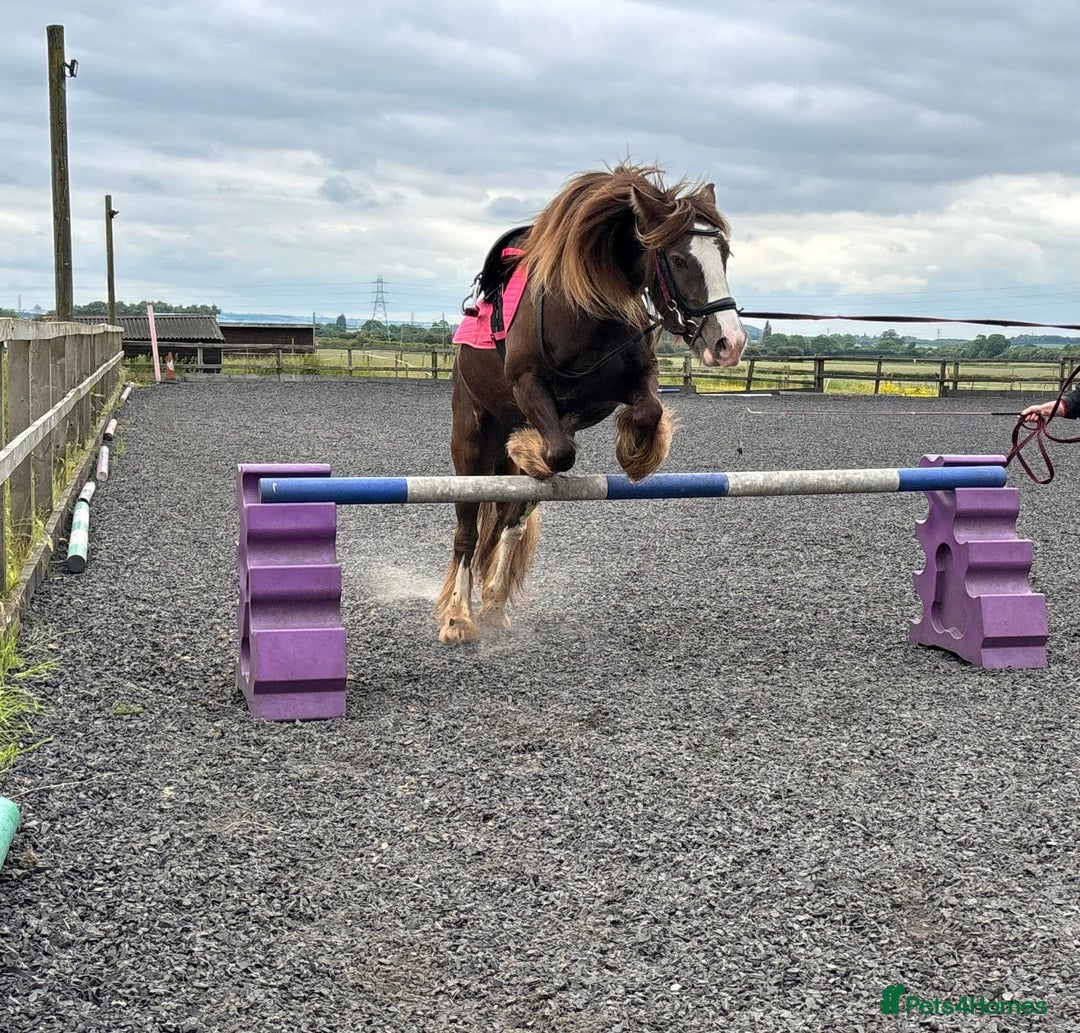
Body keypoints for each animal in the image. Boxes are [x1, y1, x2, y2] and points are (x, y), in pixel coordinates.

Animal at [436, 163, 747, 643]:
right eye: (678, 259)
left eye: (725, 255)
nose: (729, 343)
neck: (585, 309)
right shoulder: (528, 387)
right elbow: (560, 452)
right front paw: (530, 450)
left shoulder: (633, 382)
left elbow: (648, 411)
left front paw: (636, 454)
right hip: (470, 438)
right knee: (468, 530)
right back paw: (457, 618)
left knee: (509, 521)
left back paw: (493, 605)